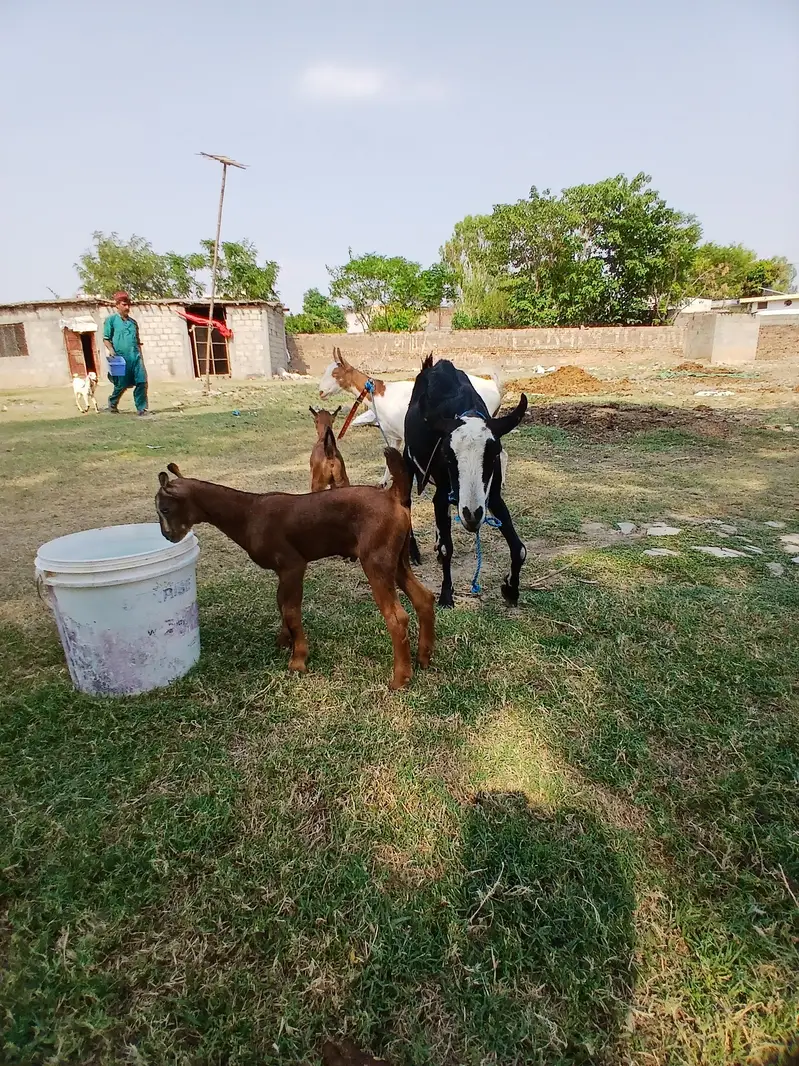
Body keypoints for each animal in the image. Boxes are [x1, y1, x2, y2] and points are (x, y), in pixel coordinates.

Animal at [155, 450, 435, 689]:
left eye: (165, 509)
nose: (167, 536)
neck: (248, 512)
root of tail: (393, 494)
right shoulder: (283, 572)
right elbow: (281, 604)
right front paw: (284, 641)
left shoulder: (293, 565)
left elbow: (291, 610)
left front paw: (298, 659)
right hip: (397, 561)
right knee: (423, 598)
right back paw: (424, 658)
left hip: (375, 562)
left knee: (397, 618)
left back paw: (400, 678)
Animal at [319, 347, 502, 486]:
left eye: (335, 374)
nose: (320, 392)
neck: (381, 395)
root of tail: (493, 386)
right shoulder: (395, 436)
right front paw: (383, 482)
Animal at [404, 356, 528, 608]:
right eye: (447, 454)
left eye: (494, 453)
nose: (471, 515)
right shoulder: (442, 495)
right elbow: (447, 548)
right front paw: (445, 596)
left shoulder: (492, 496)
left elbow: (519, 548)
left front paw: (511, 589)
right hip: (407, 460)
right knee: (405, 502)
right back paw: (414, 552)